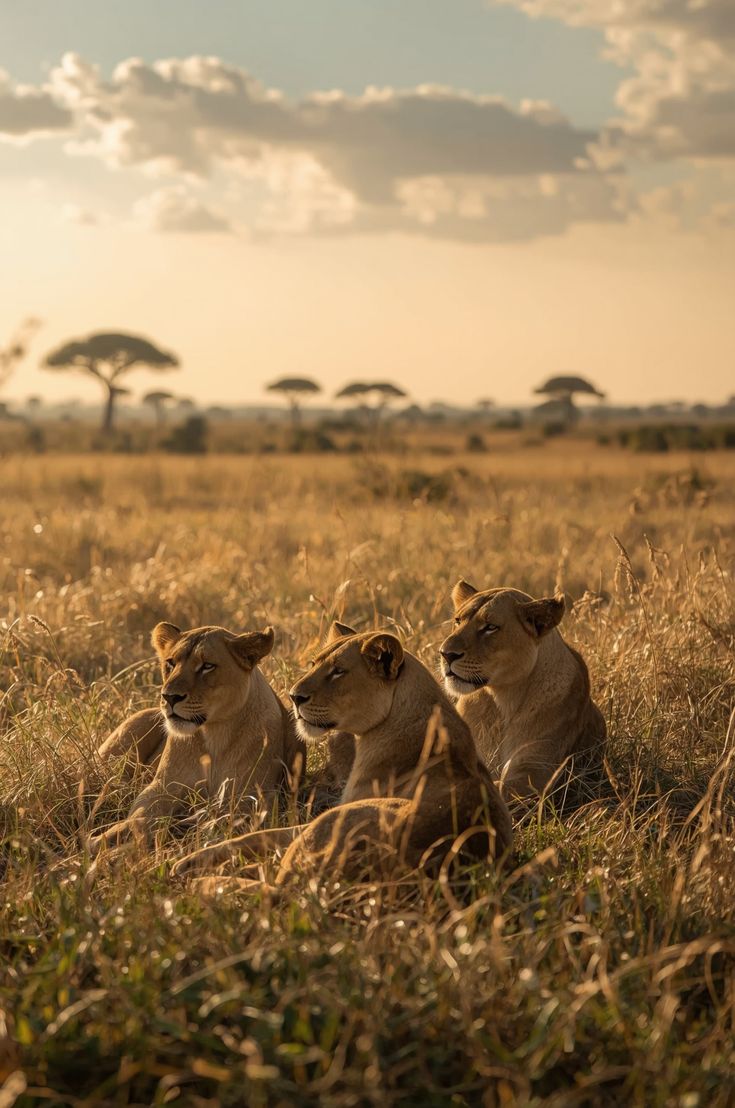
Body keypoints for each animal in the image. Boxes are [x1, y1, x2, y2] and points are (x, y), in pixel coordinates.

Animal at [89, 622, 305, 854]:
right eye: (171, 663)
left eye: (207, 666)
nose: (169, 697)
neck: (213, 735)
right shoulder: (162, 787)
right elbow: (140, 817)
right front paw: (105, 841)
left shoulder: (251, 797)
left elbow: (217, 820)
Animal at [172, 621, 513, 893]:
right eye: (314, 663)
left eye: (338, 672)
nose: (294, 697)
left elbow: (260, 835)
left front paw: (186, 862)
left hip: (332, 821)